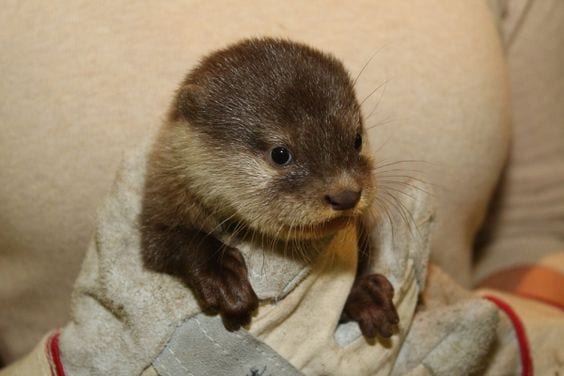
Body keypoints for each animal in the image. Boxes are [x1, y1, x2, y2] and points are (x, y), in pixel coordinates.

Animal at [140, 38, 396, 338]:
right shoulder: (165, 195)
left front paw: (366, 296)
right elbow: (167, 241)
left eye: (356, 139)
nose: (346, 195)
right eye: (280, 154)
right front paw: (223, 278)